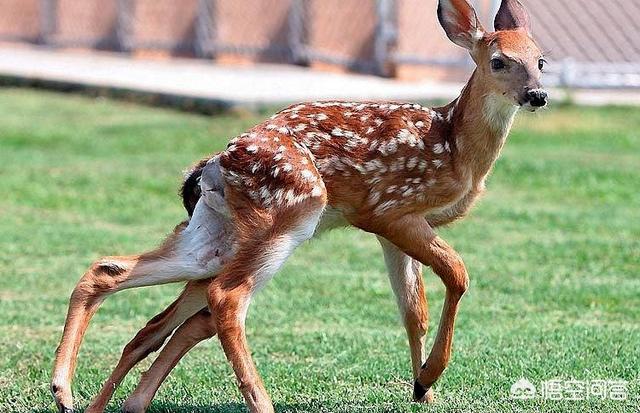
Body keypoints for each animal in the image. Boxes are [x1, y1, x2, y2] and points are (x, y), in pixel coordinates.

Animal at [51, 0, 552, 410]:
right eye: (499, 61)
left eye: (541, 61)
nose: (538, 94)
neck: (454, 147)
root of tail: (216, 163)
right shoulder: (389, 209)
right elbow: (458, 275)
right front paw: (429, 376)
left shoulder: (399, 228)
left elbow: (414, 311)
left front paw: (422, 389)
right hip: (288, 213)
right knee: (224, 301)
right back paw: (258, 401)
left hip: (214, 236)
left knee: (115, 274)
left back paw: (72, 394)